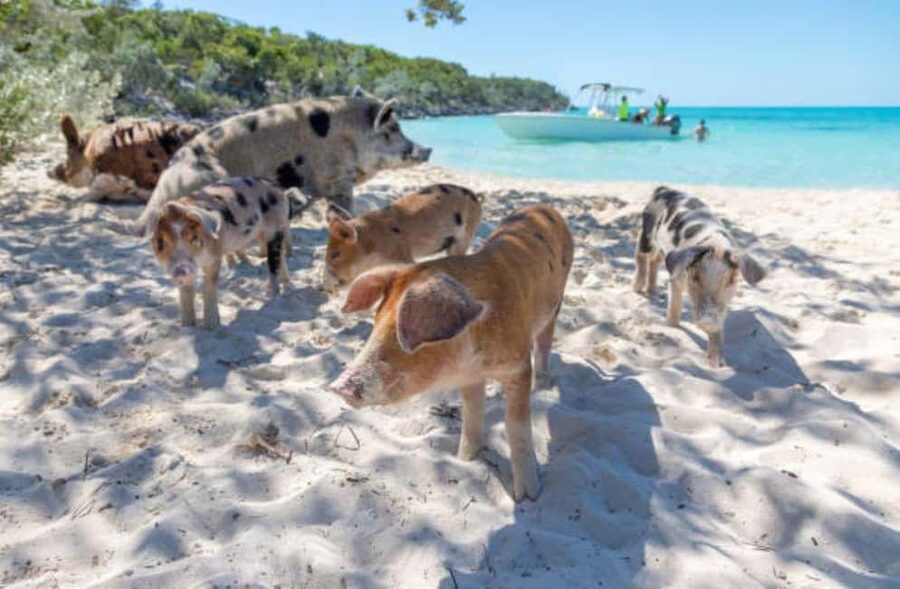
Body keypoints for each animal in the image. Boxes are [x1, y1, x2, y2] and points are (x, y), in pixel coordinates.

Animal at [150, 177, 291, 328]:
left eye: (194, 238)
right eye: (161, 242)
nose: (181, 271)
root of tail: (275, 185)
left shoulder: (215, 257)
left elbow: (208, 287)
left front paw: (211, 326)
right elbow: (186, 293)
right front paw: (187, 326)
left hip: (275, 228)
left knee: (273, 262)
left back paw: (271, 295)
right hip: (264, 233)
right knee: (281, 256)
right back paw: (285, 282)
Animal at [330, 205, 574, 501]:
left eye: (403, 331)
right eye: (376, 322)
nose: (339, 386)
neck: (473, 359)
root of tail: (545, 208)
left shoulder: (518, 367)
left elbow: (516, 427)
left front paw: (527, 496)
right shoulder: (470, 377)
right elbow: (471, 415)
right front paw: (464, 460)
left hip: (556, 303)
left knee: (545, 342)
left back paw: (543, 385)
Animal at [632, 186, 766, 367]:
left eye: (730, 281)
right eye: (695, 277)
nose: (707, 319)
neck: (715, 243)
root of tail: (664, 190)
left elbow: (719, 328)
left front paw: (718, 365)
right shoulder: (677, 275)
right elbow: (675, 303)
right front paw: (671, 326)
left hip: (663, 249)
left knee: (655, 260)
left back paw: (651, 291)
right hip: (647, 231)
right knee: (640, 254)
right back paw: (637, 288)